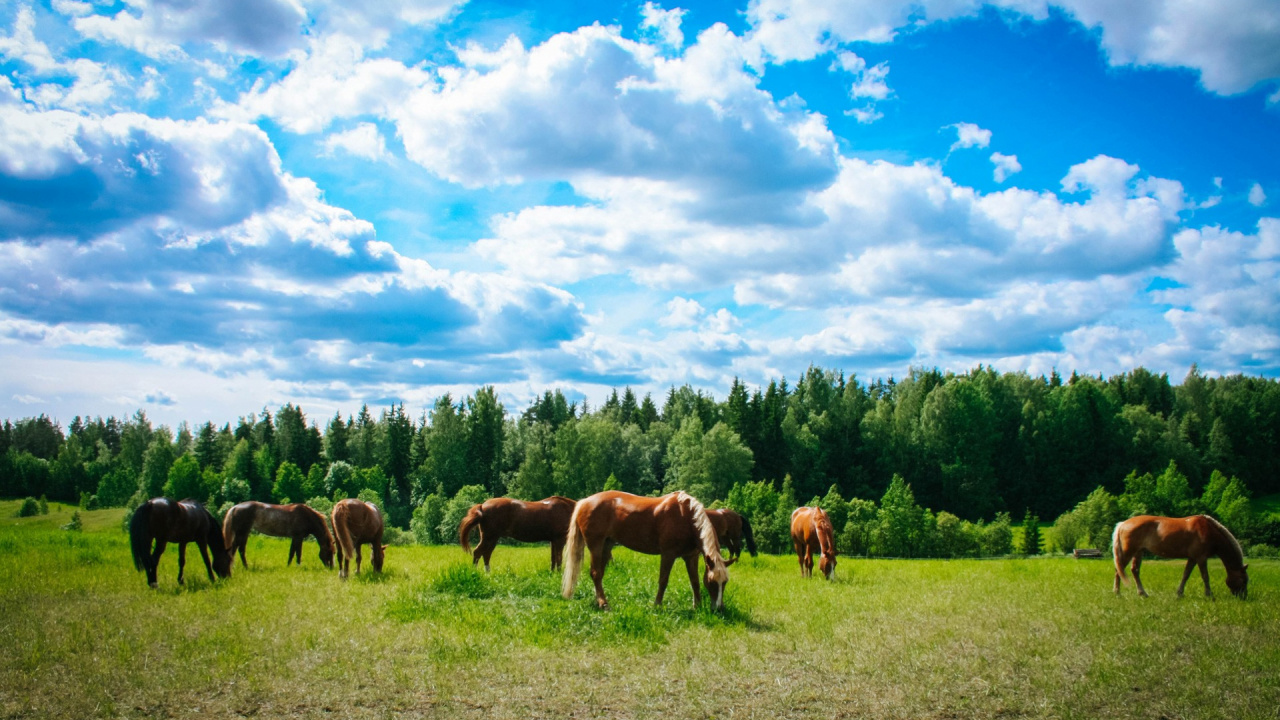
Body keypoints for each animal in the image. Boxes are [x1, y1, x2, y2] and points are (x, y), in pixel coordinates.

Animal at [561, 490, 734, 610]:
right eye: (712, 582)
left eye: (725, 582)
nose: (719, 609)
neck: (686, 516)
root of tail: (584, 502)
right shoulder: (668, 554)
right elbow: (663, 581)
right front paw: (657, 605)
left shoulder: (691, 557)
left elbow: (695, 581)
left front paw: (697, 606)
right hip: (595, 545)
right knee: (596, 573)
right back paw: (604, 604)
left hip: (606, 545)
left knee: (599, 575)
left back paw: (598, 600)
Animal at [1113, 515, 1249, 599]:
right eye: (1244, 580)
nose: (1244, 597)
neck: (1208, 531)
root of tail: (1123, 524)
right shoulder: (1201, 558)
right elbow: (1205, 576)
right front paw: (1209, 595)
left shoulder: (1193, 558)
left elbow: (1186, 575)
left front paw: (1180, 593)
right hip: (1128, 552)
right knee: (1119, 570)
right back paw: (1117, 593)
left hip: (1138, 552)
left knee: (1134, 570)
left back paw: (1142, 593)